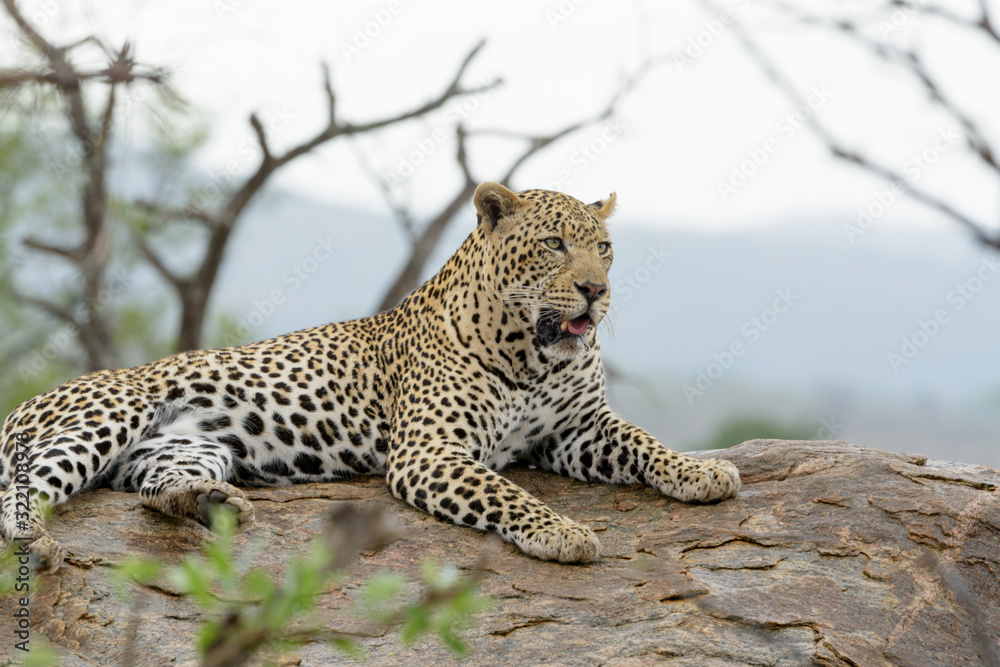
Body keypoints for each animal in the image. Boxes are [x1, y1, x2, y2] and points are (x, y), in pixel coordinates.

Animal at [0, 183, 740, 572]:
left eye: (606, 248)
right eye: (555, 245)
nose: (596, 290)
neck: (531, 354)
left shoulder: (577, 430)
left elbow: (643, 441)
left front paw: (702, 471)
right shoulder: (431, 450)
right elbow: (503, 491)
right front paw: (561, 530)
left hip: (184, 448)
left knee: (157, 491)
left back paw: (210, 504)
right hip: (107, 413)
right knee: (20, 490)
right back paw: (39, 542)